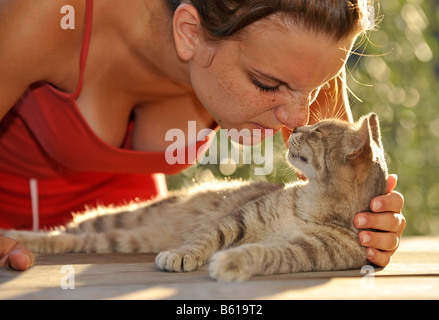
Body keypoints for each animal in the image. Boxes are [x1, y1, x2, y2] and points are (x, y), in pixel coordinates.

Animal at [5, 114, 386, 282]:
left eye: (317, 132)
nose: (293, 128)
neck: (311, 205)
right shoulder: (238, 219)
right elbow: (205, 238)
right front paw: (182, 255)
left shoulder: (303, 252)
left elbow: (265, 253)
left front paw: (231, 263)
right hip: (120, 218)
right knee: (60, 231)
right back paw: (10, 238)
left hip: (118, 239)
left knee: (66, 240)